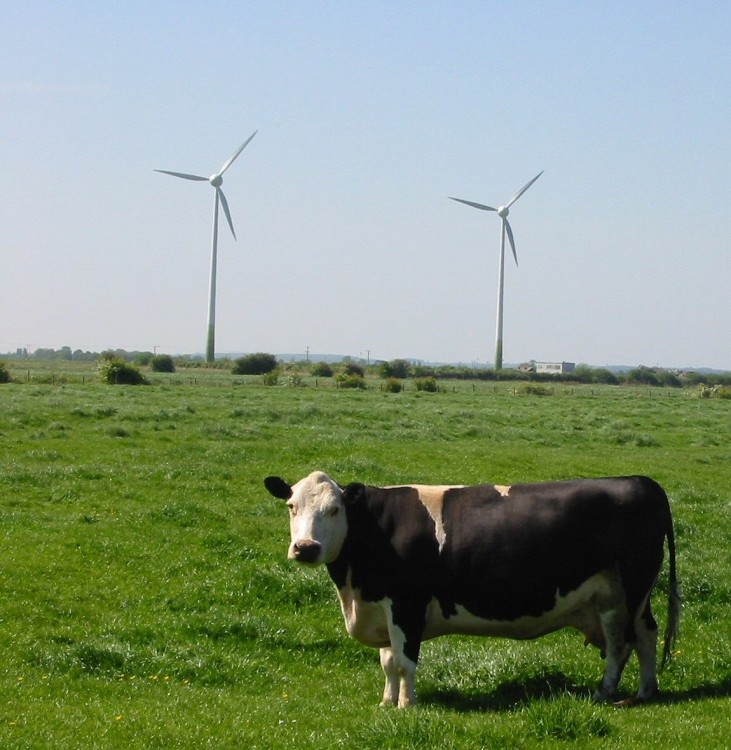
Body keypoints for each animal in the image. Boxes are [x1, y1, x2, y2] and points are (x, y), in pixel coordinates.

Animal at [264, 471, 680, 708]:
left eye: (334, 509)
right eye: (291, 506)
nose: (305, 548)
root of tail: (640, 481)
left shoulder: (406, 604)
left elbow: (404, 662)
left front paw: (406, 706)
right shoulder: (383, 606)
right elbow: (387, 662)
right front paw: (386, 702)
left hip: (626, 589)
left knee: (621, 642)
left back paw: (606, 693)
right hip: (628, 594)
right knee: (645, 633)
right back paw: (645, 691)